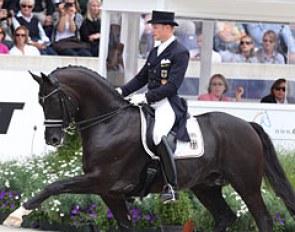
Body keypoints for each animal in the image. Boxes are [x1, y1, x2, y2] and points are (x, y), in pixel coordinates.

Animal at [2, 66, 295, 231]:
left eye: (53, 101)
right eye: (40, 102)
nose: (53, 139)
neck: (109, 122)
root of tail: (247, 125)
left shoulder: (99, 180)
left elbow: (54, 186)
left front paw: (16, 215)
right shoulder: (108, 191)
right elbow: (125, 225)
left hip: (245, 183)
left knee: (263, 220)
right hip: (206, 187)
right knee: (226, 217)